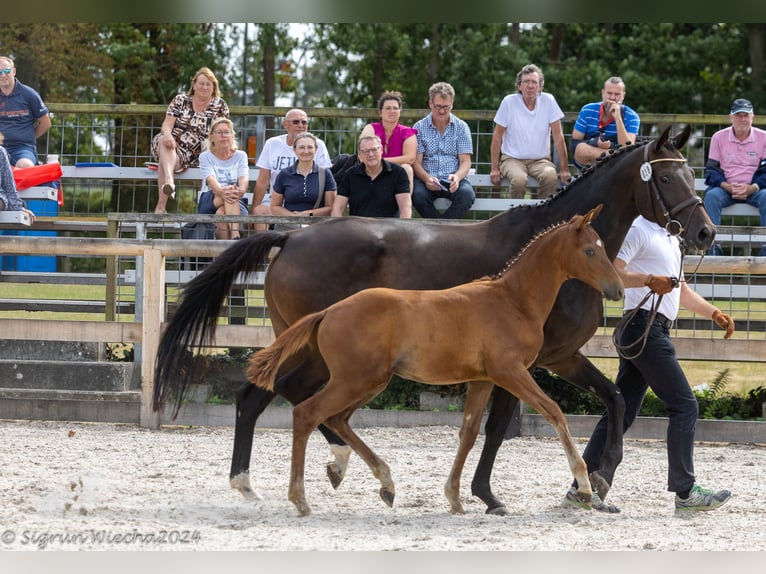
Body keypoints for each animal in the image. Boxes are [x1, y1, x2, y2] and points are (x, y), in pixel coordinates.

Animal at [249, 208, 628, 516]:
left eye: (602, 246)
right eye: (590, 250)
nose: (618, 290)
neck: (512, 300)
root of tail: (328, 312)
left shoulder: (483, 379)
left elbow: (469, 432)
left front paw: (455, 498)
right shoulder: (511, 372)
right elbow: (554, 413)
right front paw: (585, 486)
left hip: (371, 381)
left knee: (336, 419)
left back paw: (385, 484)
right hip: (354, 380)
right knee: (307, 414)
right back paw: (300, 498)